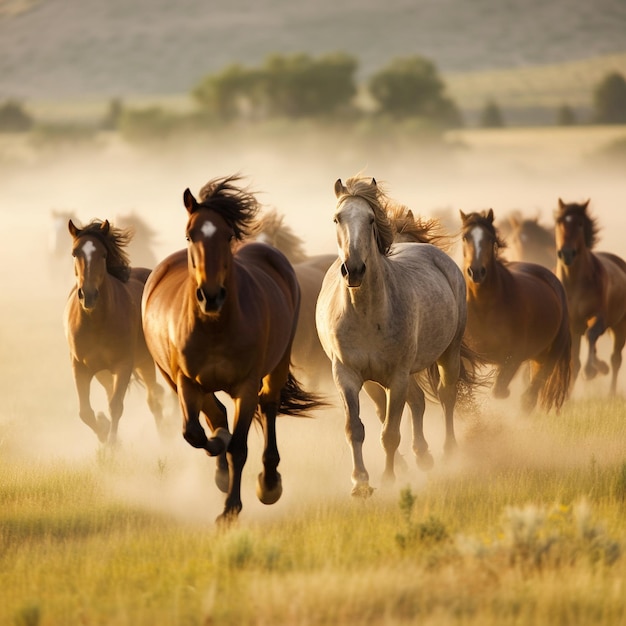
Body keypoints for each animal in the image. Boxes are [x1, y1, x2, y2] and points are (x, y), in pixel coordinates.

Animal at [63, 219, 166, 444]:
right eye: (74, 253)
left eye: (103, 254)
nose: (88, 295)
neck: (95, 322)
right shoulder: (80, 367)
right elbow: (85, 412)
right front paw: (104, 431)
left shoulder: (123, 365)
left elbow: (116, 405)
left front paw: (111, 445)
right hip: (104, 372)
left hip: (145, 362)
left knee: (154, 398)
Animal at [140, 173, 320, 520]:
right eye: (189, 235)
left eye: (226, 236)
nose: (210, 295)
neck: (215, 327)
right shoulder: (186, 381)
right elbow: (195, 433)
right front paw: (219, 453)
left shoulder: (246, 385)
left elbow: (239, 446)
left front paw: (231, 509)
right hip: (172, 378)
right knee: (214, 415)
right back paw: (221, 467)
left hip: (277, 364)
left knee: (269, 406)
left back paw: (269, 482)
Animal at [314, 176, 476, 498]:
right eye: (337, 218)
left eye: (370, 219)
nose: (353, 269)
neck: (365, 313)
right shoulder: (348, 375)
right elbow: (357, 428)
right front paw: (361, 482)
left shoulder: (397, 377)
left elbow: (390, 432)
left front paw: (389, 479)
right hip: (377, 382)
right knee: (413, 403)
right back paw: (420, 456)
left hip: (447, 354)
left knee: (446, 396)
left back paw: (447, 453)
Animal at [456, 207, 568, 412]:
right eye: (465, 237)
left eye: (490, 238)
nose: (476, 272)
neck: (484, 307)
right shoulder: (465, 356)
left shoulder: (514, 355)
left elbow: (499, 389)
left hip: (550, 354)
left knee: (531, 394)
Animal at [552, 197, 624, 392]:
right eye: (559, 222)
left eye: (580, 223)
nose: (566, 253)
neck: (574, 283)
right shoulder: (572, 326)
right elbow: (574, 363)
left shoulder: (599, 317)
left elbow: (592, 334)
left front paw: (591, 370)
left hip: (620, 327)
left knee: (616, 359)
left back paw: (611, 391)